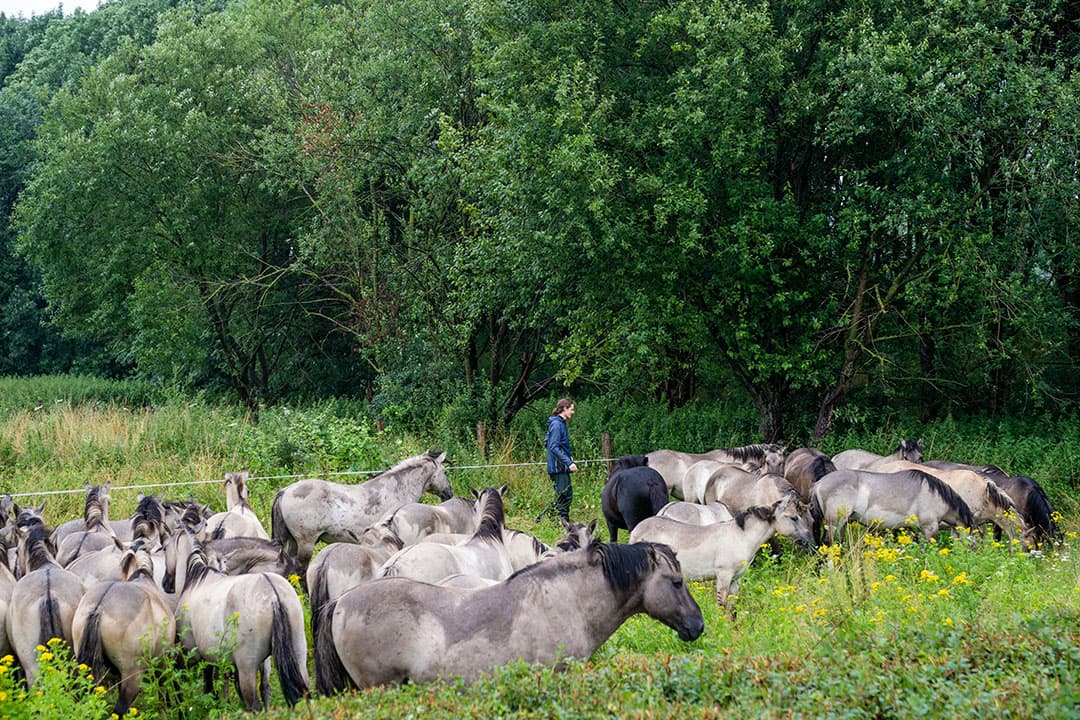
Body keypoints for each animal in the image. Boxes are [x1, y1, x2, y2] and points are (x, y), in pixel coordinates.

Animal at [175, 538, 309, 711]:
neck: (199, 579)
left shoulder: (194, 653)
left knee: (254, 704)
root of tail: (273, 594)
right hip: (298, 656)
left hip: (247, 668)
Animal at [271, 450, 452, 570]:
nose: (449, 494)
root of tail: (285, 491)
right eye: (445, 472)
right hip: (306, 544)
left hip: (293, 542)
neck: (397, 490)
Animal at [630, 496, 814, 612]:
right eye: (794, 518)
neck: (741, 537)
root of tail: (637, 529)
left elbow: (732, 608)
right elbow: (722, 606)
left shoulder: (735, 579)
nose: (811, 544)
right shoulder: (724, 576)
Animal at [810, 468, 975, 545]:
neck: (934, 495)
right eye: (974, 541)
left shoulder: (912, 529)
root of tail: (819, 483)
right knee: (828, 545)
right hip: (835, 524)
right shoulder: (930, 528)